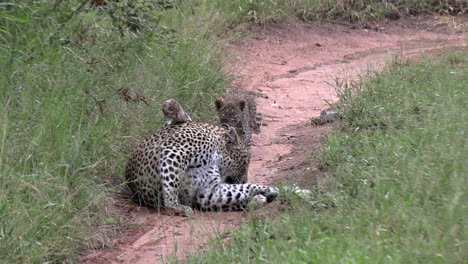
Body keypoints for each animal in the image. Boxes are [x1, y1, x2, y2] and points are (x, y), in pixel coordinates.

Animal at [125, 99, 278, 214]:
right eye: (245, 163)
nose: (244, 179)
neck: (216, 154)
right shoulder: (174, 151)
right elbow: (170, 185)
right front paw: (175, 206)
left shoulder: (207, 191)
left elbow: (243, 189)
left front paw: (270, 190)